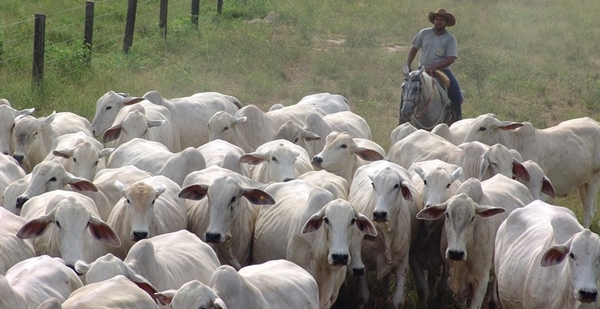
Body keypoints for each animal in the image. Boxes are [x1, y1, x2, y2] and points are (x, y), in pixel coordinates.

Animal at [350, 160, 420, 306]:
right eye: (373, 184)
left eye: (396, 186)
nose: (379, 214)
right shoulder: (362, 263)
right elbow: (363, 296)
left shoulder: (402, 265)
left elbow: (398, 301)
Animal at [464, 113, 600, 226]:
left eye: (482, 128)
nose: (465, 143)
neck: (518, 142)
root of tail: (595, 123)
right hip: (582, 183)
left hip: (594, 178)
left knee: (588, 212)